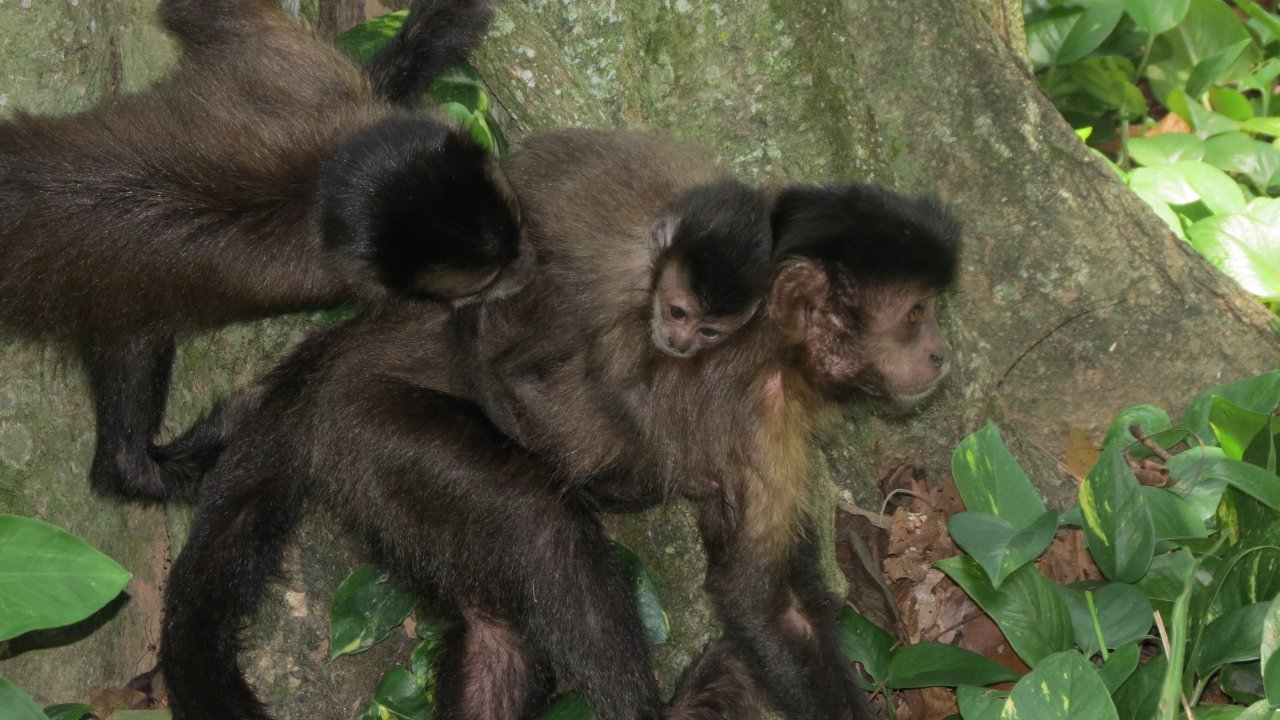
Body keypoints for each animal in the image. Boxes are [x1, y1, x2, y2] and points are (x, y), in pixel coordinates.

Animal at [0, 0, 527, 501]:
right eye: (489, 277)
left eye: (518, 226)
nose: (526, 268)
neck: (317, 189)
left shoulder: (299, 76)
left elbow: (198, 12)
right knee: (127, 437)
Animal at [156, 159, 961, 719]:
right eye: (916, 314)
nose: (940, 352)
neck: (778, 343)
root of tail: (335, 359)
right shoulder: (758, 415)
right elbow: (761, 600)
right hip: (375, 425)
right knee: (541, 527)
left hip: (384, 482)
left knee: (497, 629)